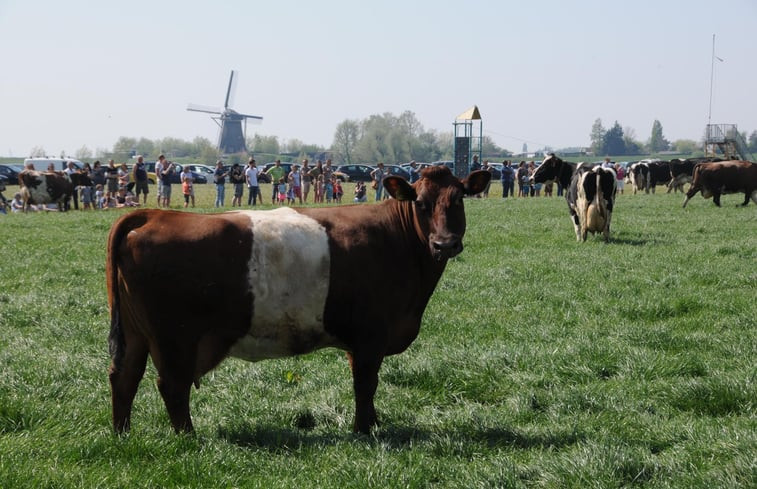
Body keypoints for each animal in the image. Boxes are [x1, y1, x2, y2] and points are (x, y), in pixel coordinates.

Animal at [106, 166, 490, 432]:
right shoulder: (371, 335)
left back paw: (122, 434)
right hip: (174, 337)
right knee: (171, 384)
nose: (445, 243)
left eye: (458, 199)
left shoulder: (361, 340)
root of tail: (154, 215)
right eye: (421, 204)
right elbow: (366, 383)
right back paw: (188, 436)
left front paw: (372, 424)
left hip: (137, 333)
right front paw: (364, 430)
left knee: (124, 377)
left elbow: (364, 384)